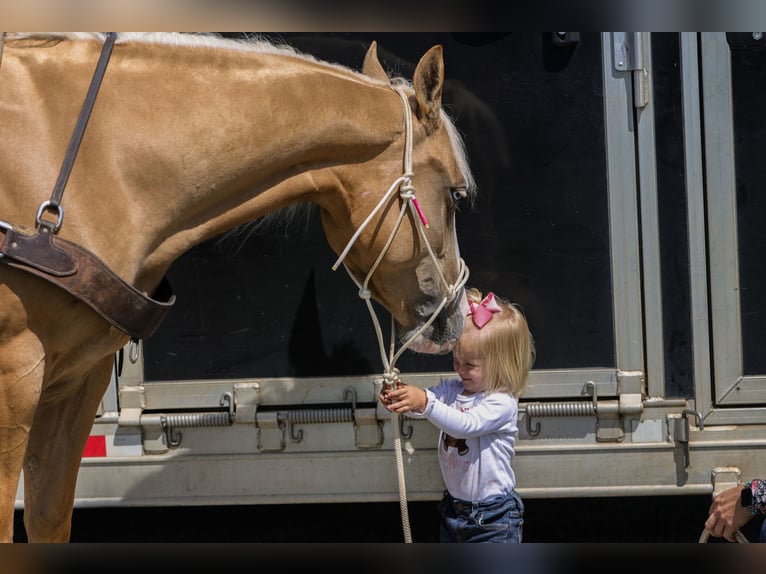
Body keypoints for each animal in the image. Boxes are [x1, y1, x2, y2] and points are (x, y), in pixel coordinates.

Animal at [0, 32, 475, 542]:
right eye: (456, 194)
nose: (456, 318)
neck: (95, 164)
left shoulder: (76, 383)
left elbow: (50, 517)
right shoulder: (15, 382)